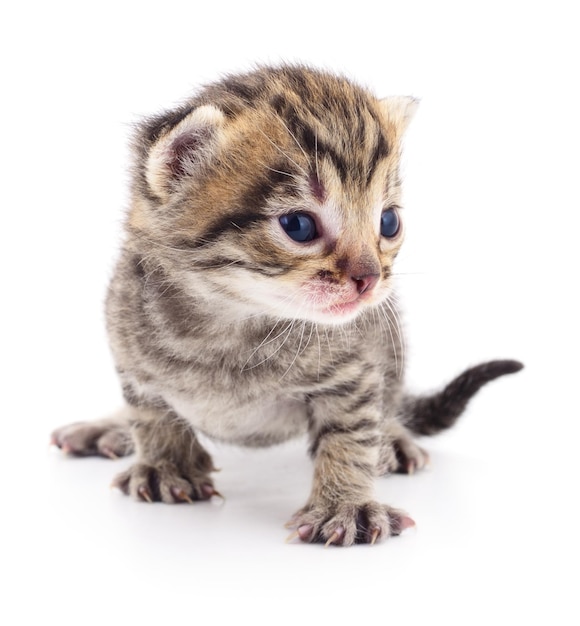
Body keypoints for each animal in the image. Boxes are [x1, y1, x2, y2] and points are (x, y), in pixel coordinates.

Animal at [52, 66, 524, 544]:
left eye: (388, 222)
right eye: (298, 225)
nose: (369, 278)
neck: (232, 323)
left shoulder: (355, 372)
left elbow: (351, 434)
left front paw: (345, 505)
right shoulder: (128, 346)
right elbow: (148, 409)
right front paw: (167, 465)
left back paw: (394, 436)